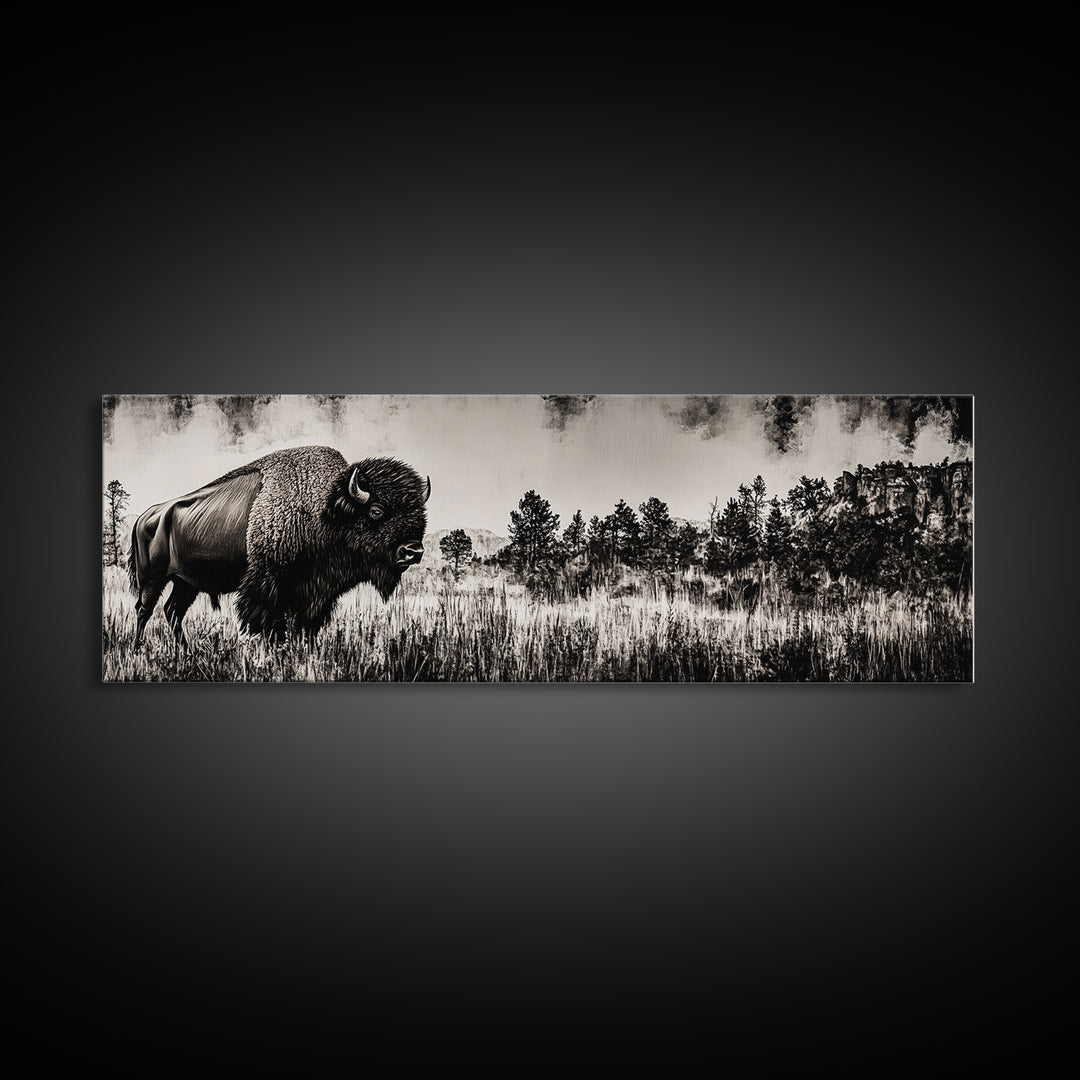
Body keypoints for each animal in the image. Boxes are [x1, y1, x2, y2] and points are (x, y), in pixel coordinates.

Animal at [128, 445, 430, 646]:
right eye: (377, 511)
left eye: (421, 514)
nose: (413, 551)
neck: (323, 509)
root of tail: (146, 516)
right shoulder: (268, 584)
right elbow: (270, 623)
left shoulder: (316, 592)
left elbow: (306, 624)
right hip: (153, 578)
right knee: (144, 609)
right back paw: (138, 647)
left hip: (186, 582)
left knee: (173, 611)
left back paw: (186, 650)